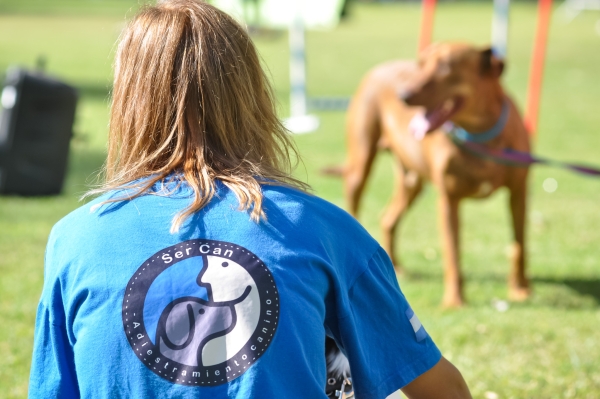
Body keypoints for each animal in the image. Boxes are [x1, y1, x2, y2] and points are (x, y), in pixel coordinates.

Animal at [344, 43, 532, 308]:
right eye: (421, 65)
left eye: (445, 67)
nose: (403, 95)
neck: (478, 134)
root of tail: (381, 68)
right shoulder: (449, 200)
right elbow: (452, 254)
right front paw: (454, 301)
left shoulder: (519, 193)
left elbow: (519, 246)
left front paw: (520, 289)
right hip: (360, 167)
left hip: (411, 182)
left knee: (388, 220)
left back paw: (395, 268)